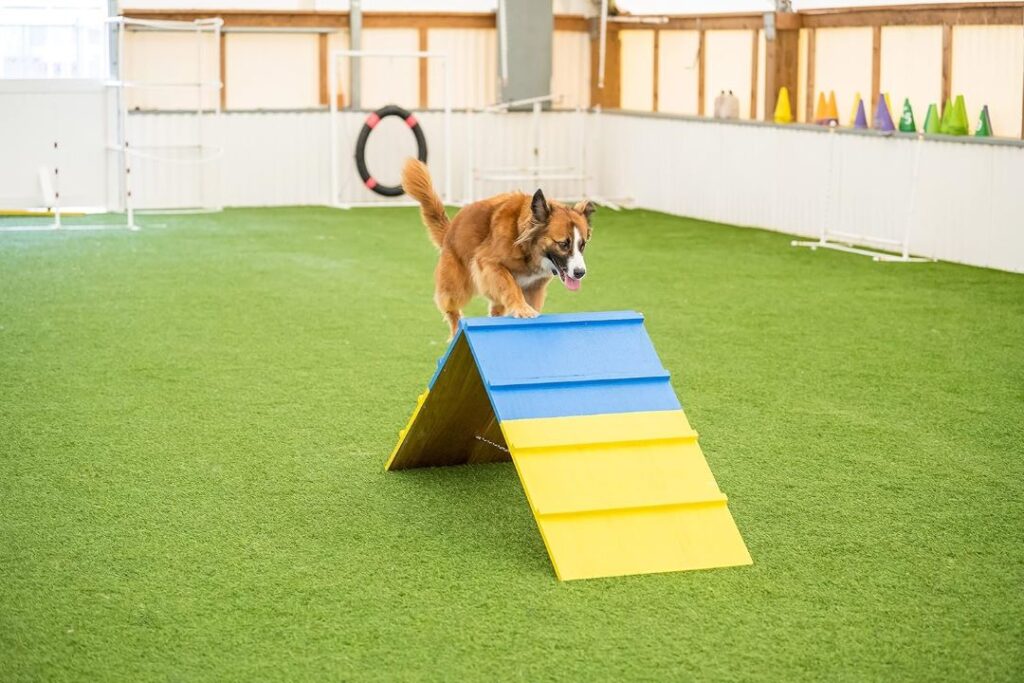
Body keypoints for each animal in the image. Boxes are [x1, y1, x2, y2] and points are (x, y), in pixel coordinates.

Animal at [399, 158, 593, 339]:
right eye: (563, 244)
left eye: (582, 245)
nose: (580, 273)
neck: (525, 245)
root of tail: (450, 230)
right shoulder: (488, 263)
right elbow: (510, 285)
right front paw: (522, 308)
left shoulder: (535, 287)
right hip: (456, 286)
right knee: (452, 309)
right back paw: (455, 331)